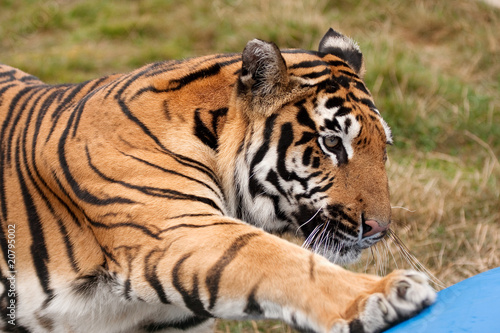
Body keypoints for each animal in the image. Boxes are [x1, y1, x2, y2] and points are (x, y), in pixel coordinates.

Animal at [0, 29, 434, 332]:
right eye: (331, 142)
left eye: (384, 149)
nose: (379, 229)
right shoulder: (179, 229)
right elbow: (281, 260)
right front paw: (382, 295)